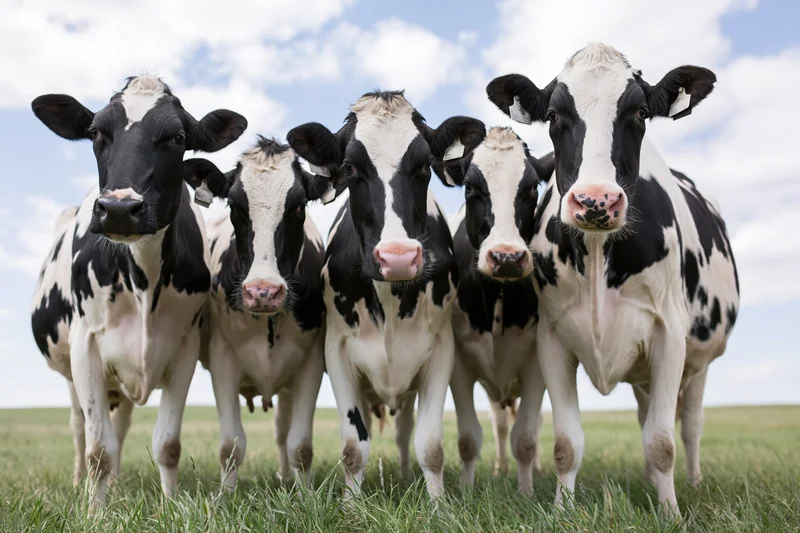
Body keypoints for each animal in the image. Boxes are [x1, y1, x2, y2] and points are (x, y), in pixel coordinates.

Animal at [29, 76, 247, 507]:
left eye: (177, 137)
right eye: (96, 131)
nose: (118, 209)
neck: (143, 280)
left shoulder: (183, 346)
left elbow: (167, 444)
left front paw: (170, 505)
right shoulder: (86, 345)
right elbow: (97, 447)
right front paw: (95, 513)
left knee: (121, 424)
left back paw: (114, 484)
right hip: (71, 370)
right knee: (79, 427)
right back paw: (81, 484)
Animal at [181, 136, 329, 489]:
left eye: (298, 206)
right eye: (235, 206)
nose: (263, 291)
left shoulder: (312, 362)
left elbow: (300, 445)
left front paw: (304, 495)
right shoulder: (222, 359)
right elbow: (230, 444)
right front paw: (226, 495)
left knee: (282, 433)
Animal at [286, 90, 486, 498]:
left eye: (425, 166)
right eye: (349, 167)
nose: (397, 257)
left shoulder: (441, 349)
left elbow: (430, 445)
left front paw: (438, 504)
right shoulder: (337, 350)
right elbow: (353, 447)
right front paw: (351, 504)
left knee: (404, 433)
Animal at [444, 126, 553, 494]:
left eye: (532, 188)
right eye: (470, 188)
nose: (506, 257)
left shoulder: (536, 361)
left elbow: (527, 438)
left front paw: (526, 493)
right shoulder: (460, 361)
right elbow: (468, 439)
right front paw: (466, 492)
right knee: (500, 423)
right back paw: (499, 469)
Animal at [486, 43, 740, 515]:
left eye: (639, 112)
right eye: (554, 115)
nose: (595, 200)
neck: (598, 250)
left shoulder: (669, 333)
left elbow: (663, 442)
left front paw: (671, 513)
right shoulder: (552, 338)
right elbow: (566, 444)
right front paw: (562, 511)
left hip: (699, 360)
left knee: (690, 424)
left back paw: (693, 483)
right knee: (645, 415)